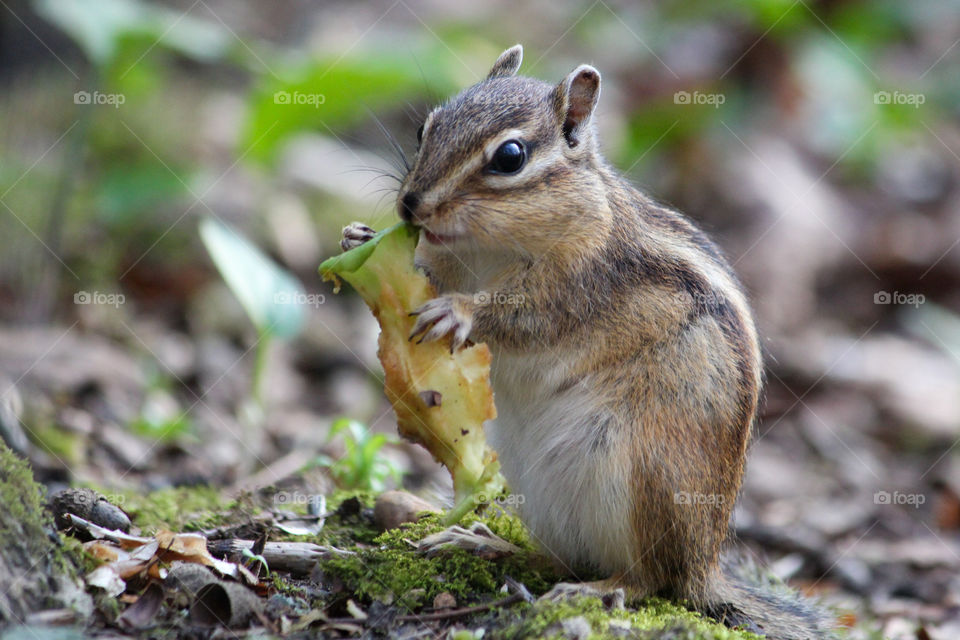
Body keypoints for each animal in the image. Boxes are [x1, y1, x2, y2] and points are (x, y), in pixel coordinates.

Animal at [342, 45, 832, 639]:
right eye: (424, 128)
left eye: (510, 157)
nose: (410, 206)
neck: (487, 249)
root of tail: (705, 567)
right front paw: (361, 238)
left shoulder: (583, 278)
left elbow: (528, 317)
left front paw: (459, 310)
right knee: (563, 558)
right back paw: (487, 545)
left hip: (643, 479)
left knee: (649, 579)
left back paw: (595, 588)